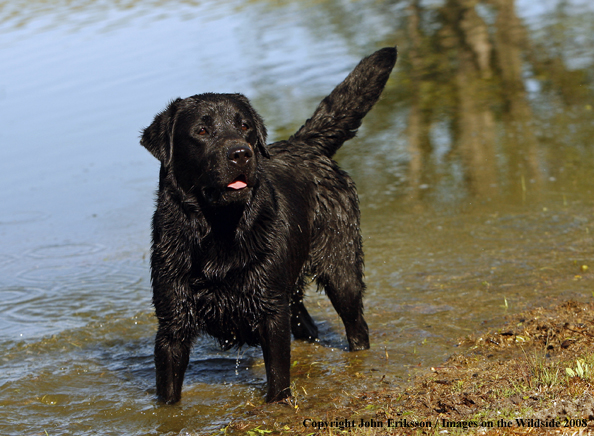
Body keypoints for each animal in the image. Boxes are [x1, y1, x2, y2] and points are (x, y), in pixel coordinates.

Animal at [140, 46, 396, 404]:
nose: (240, 153)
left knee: (356, 323)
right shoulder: (171, 325)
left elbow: (277, 378)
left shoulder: (270, 312)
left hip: (339, 268)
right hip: (290, 284)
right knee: (308, 325)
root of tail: (304, 144)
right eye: (202, 131)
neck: (218, 230)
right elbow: (168, 393)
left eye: (245, 126)